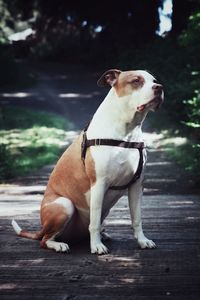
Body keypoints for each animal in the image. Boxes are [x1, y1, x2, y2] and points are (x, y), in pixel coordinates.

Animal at [11, 69, 164, 254]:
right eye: (136, 81)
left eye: (154, 80)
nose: (159, 87)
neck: (127, 131)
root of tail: (41, 228)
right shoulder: (99, 183)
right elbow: (95, 221)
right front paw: (96, 246)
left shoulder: (136, 185)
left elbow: (137, 218)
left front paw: (142, 241)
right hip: (64, 205)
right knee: (45, 240)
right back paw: (59, 244)